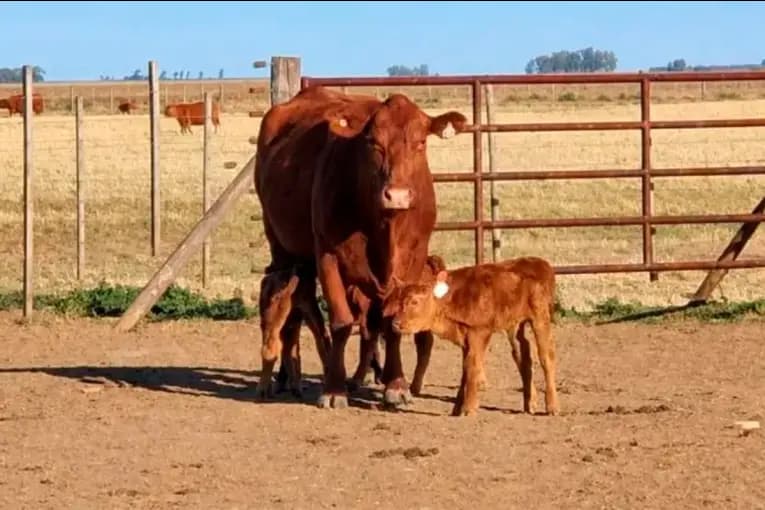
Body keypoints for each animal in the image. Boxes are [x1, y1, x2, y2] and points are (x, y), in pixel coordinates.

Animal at [254, 84, 467, 409]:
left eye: (420, 143)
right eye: (373, 144)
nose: (397, 195)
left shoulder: (413, 260)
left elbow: (390, 322)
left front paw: (396, 386)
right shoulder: (328, 255)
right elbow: (341, 322)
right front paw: (334, 389)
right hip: (281, 248)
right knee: (290, 315)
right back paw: (283, 379)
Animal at [384, 256, 559, 417]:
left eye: (414, 302)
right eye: (398, 300)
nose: (395, 323)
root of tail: (540, 263)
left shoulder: (478, 332)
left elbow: (472, 365)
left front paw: (469, 408)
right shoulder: (465, 337)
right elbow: (465, 369)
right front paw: (457, 408)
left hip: (540, 319)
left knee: (547, 357)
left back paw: (552, 406)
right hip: (515, 325)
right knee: (522, 356)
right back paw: (529, 403)